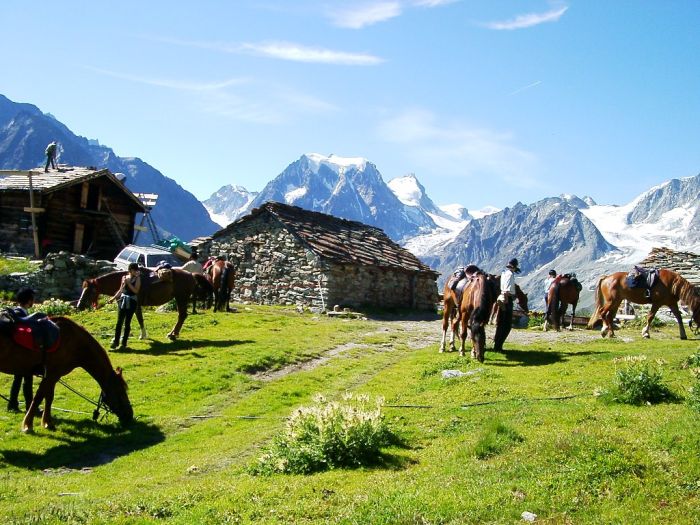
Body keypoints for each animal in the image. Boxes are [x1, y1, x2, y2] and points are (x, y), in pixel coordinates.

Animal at [0, 316, 133, 430]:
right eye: (121, 392)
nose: (130, 415)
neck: (74, 342)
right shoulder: (51, 374)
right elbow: (38, 397)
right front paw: (28, 425)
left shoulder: (54, 376)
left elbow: (49, 397)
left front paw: (47, 422)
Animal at [78, 268, 211, 338]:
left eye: (90, 290)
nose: (79, 305)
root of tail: (191, 274)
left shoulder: (136, 305)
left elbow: (139, 319)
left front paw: (143, 335)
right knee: (182, 316)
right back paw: (173, 333)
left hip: (181, 298)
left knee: (182, 315)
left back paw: (173, 334)